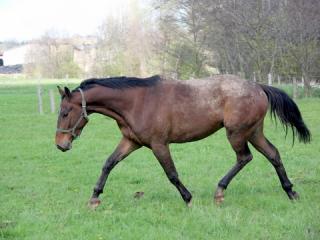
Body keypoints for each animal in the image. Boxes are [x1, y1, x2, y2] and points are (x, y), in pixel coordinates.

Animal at [55, 75, 310, 208]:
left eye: (65, 112)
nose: (60, 144)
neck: (137, 102)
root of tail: (259, 87)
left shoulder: (159, 144)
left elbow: (172, 174)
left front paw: (188, 199)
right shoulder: (131, 141)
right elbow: (108, 163)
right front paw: (94, 198)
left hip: (237, 133)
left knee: (244, 157)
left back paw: (220, 191)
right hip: (253, 132)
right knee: (273, 154)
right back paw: (291, 192)